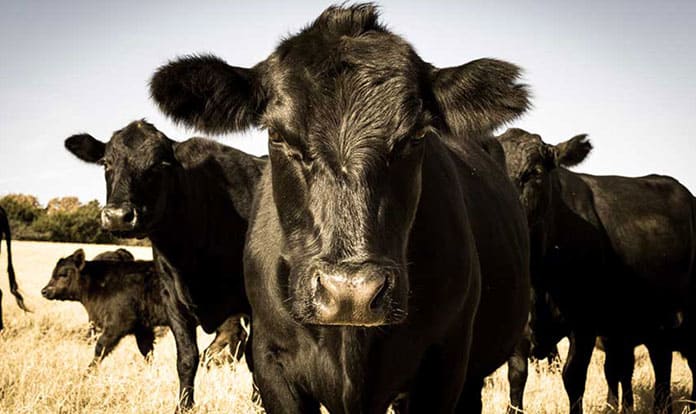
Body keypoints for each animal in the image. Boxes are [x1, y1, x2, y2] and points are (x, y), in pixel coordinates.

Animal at [63, 120, 265, 411]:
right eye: (105, 163)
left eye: (159, 164)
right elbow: (187, 359)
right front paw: (183, 406)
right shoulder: (173, 300)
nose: (118, 216)